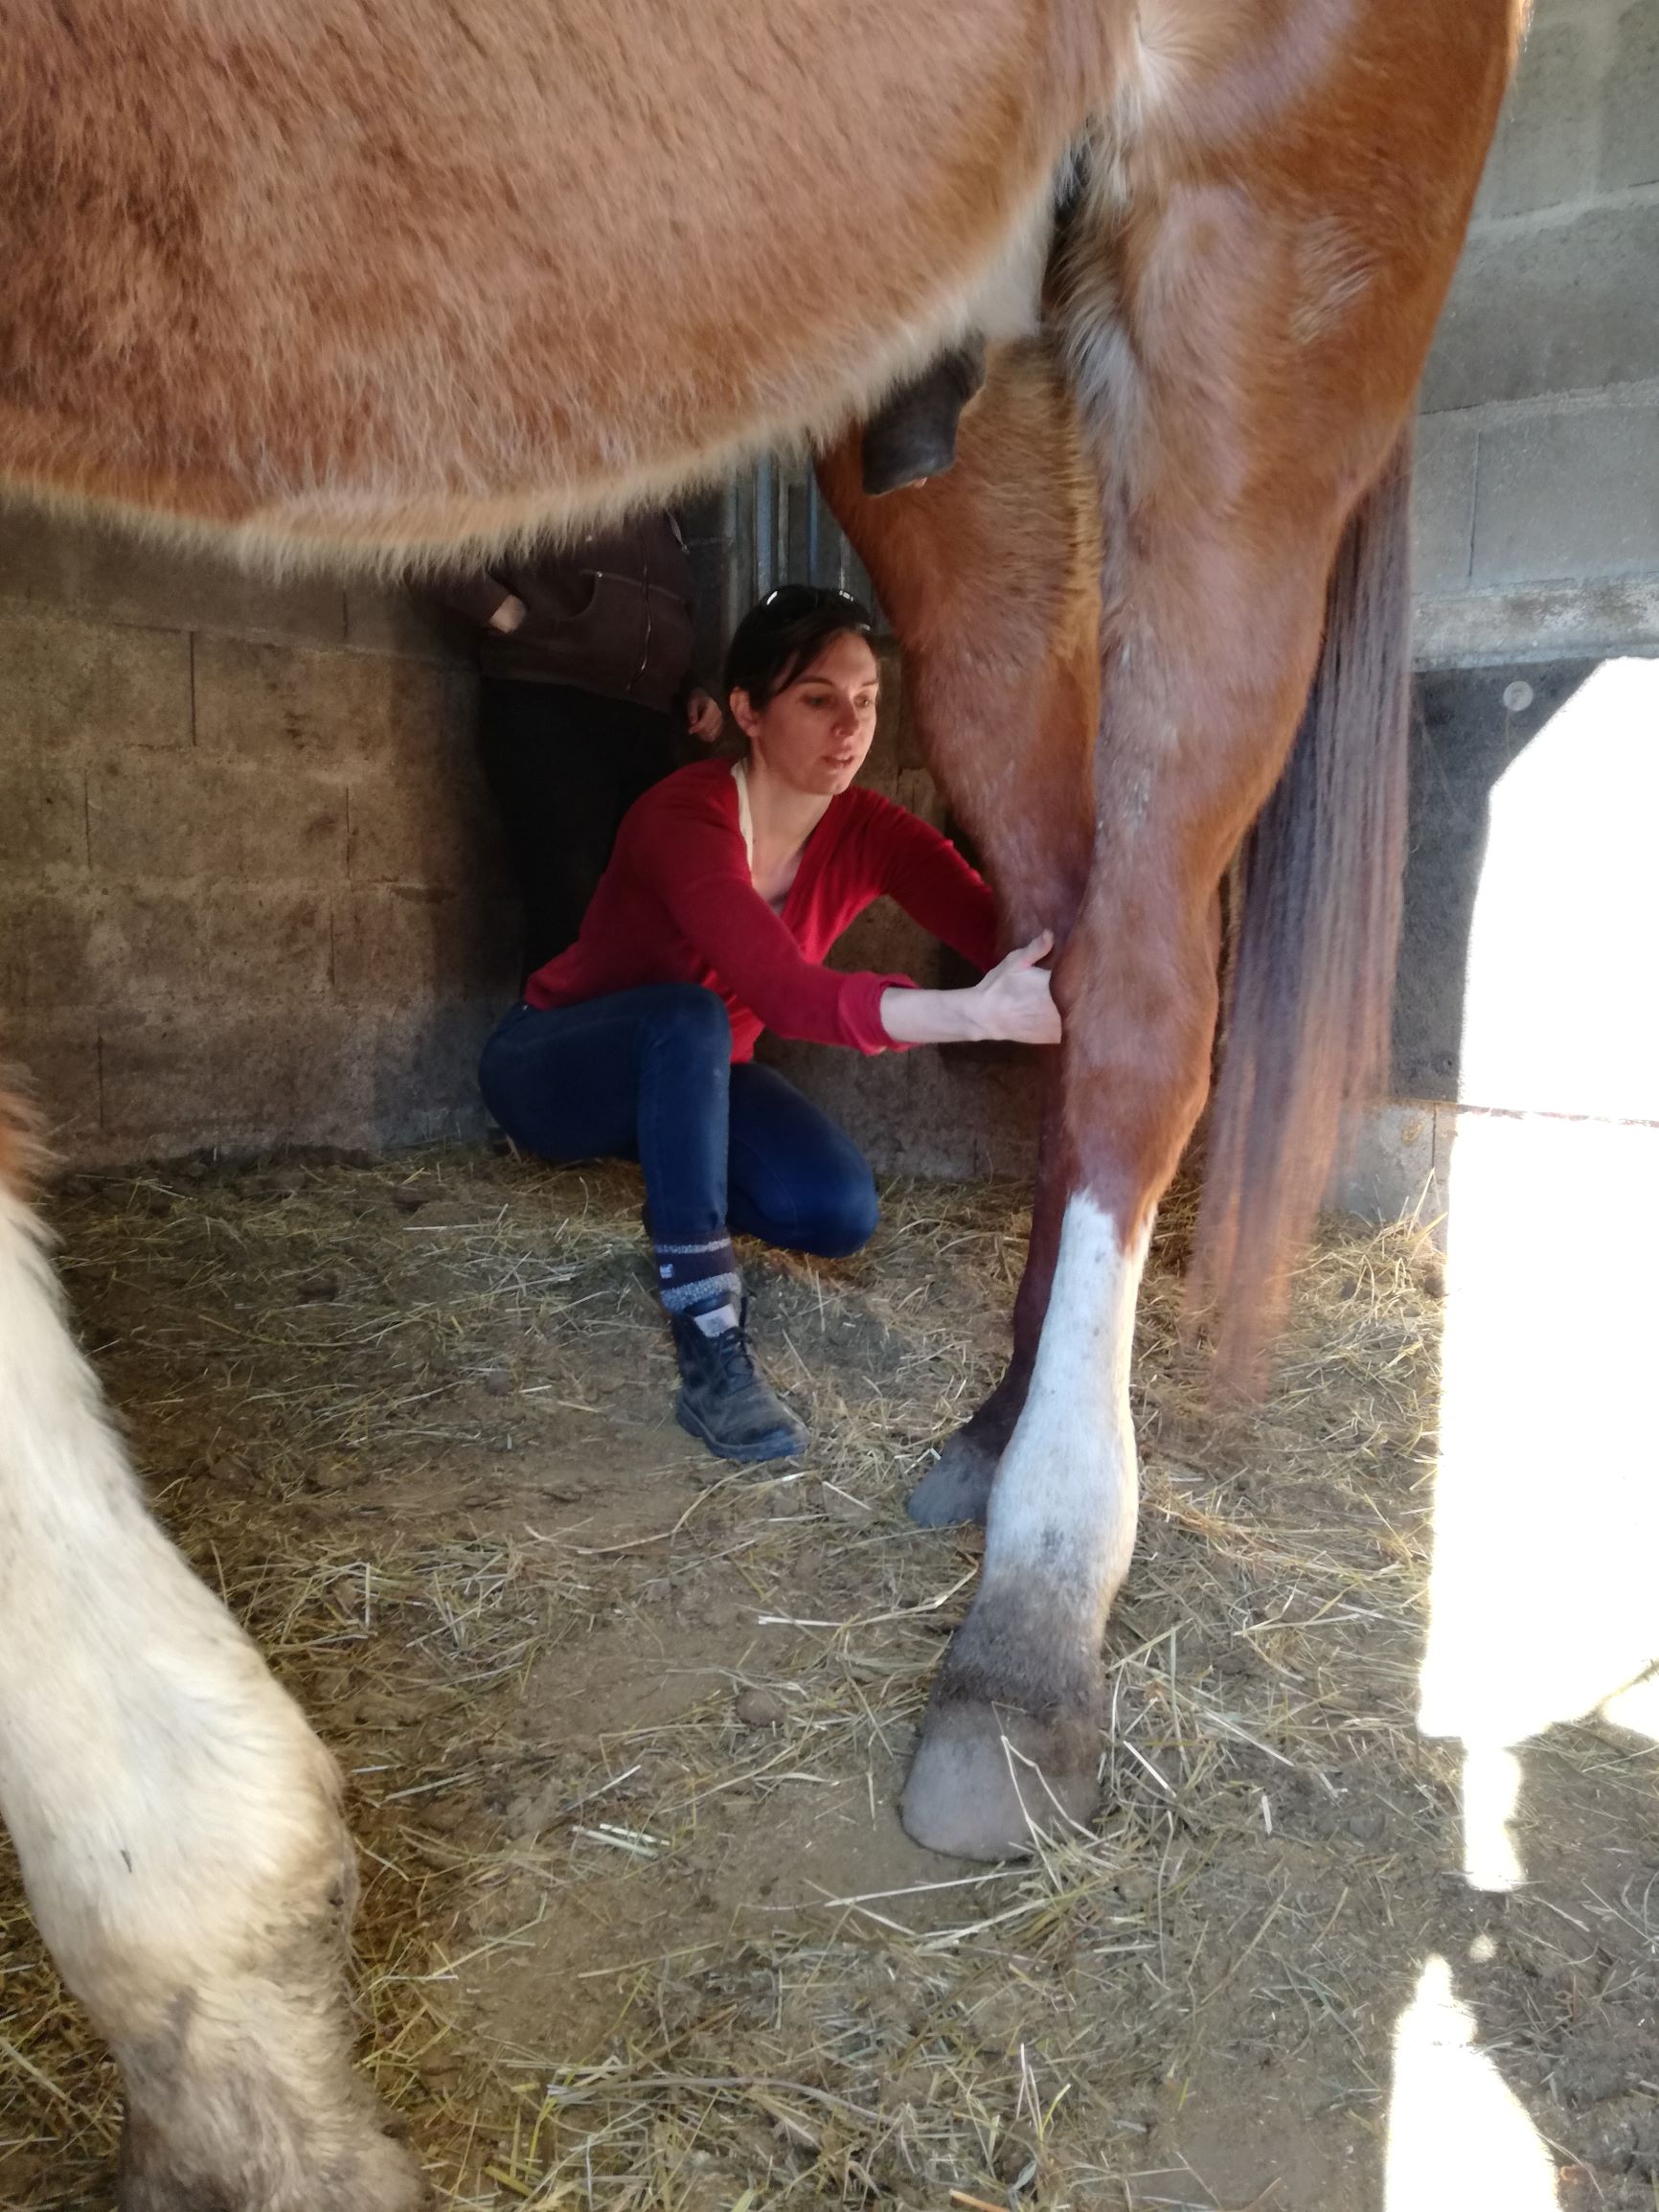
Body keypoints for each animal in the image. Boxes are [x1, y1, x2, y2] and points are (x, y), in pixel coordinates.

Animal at [0, 0, 1531, 2202]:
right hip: (984, 435)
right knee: (1062, 913)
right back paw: (983, 1433)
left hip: (1269, 267)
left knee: (1152, 982)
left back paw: (1025, 1640)